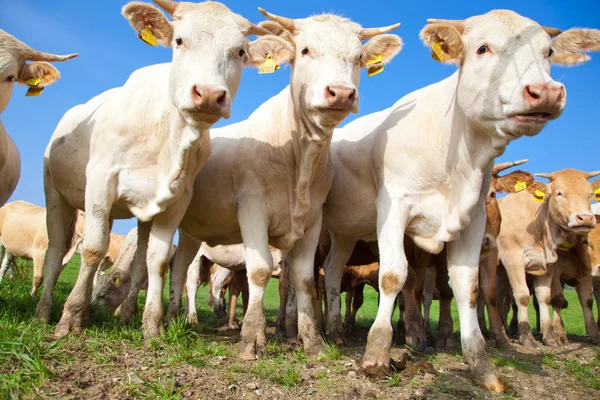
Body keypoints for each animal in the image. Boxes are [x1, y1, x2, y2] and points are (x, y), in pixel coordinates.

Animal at [34, 0, 290, 340]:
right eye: (179, 40)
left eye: (240, 52)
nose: (209, 94)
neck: (167, 135)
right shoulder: (100, 182)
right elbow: (93, 248)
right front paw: (72, 316)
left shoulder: (177, 200)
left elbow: (156, 260)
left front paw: (152, 324)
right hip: (55, 193)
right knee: (54, 250)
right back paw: (44, 311)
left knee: (140, 261)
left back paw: (125, 315)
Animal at [161, 10, 404, 360]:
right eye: (304, 50)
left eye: (358, 58)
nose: (341, 92)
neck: (299, 154)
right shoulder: (252, 208)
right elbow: (260, 271)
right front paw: (251, 339)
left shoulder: (313, 219)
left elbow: (304, 280)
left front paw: (313, 341)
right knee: (186, 273)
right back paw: (181, 319)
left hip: (194, 230)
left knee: (179, 267)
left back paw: (173, 317)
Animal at [322, 10, 596, 392]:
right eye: (482, 48)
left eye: (549, 52)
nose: (545, 93)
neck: (456, 154)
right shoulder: (393, 211)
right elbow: (393, 277)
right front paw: (376, 354)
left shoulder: (474, 223)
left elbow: (468, 289)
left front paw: (483, 367)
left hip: (346, 233)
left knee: (333, 272)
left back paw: (334, 330)